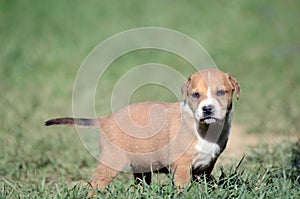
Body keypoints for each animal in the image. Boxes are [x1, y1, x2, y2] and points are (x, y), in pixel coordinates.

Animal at [45, 68, 240, 190]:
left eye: (221, 92)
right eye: (196, 95)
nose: (207, 109)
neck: (205, 129)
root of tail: (105, 119)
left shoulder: (206, 166)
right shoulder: (181, 166)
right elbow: (183, 187)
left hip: (141, 165)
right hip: (111, 162)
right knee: (95, 185)